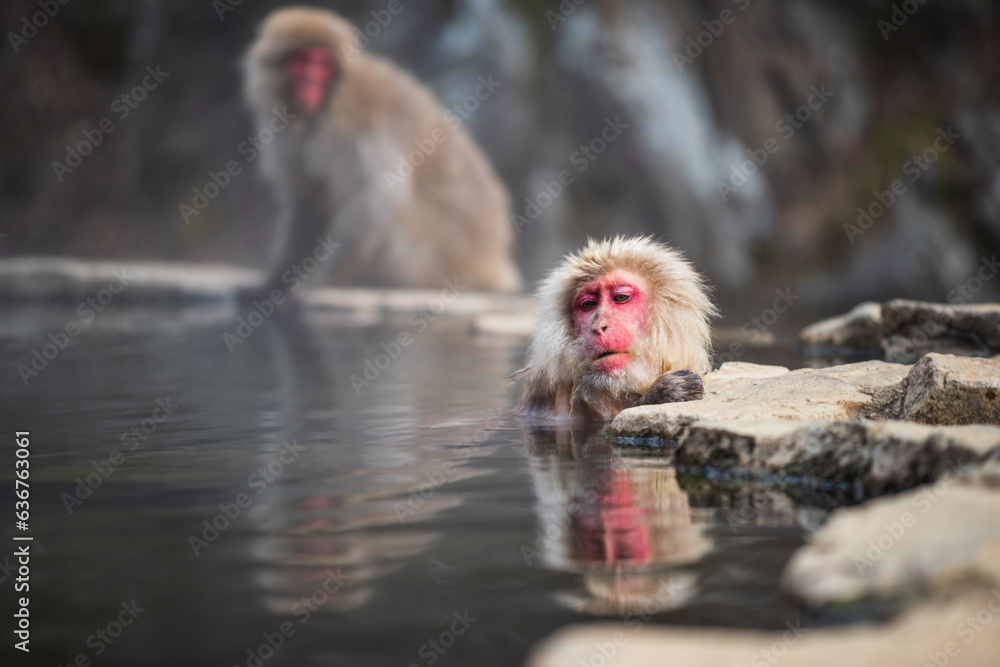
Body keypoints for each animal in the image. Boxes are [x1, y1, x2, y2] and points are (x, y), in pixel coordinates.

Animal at [242, 7, 522, 294]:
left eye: (321, 64)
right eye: (301, 62)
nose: (309, 82)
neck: (321, 109)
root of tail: (492, 264)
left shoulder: (355, 132)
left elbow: (372, 205)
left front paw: (316, 284)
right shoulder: (285, 136)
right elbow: (305, 202)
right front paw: (276, 281)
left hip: (428, 259)